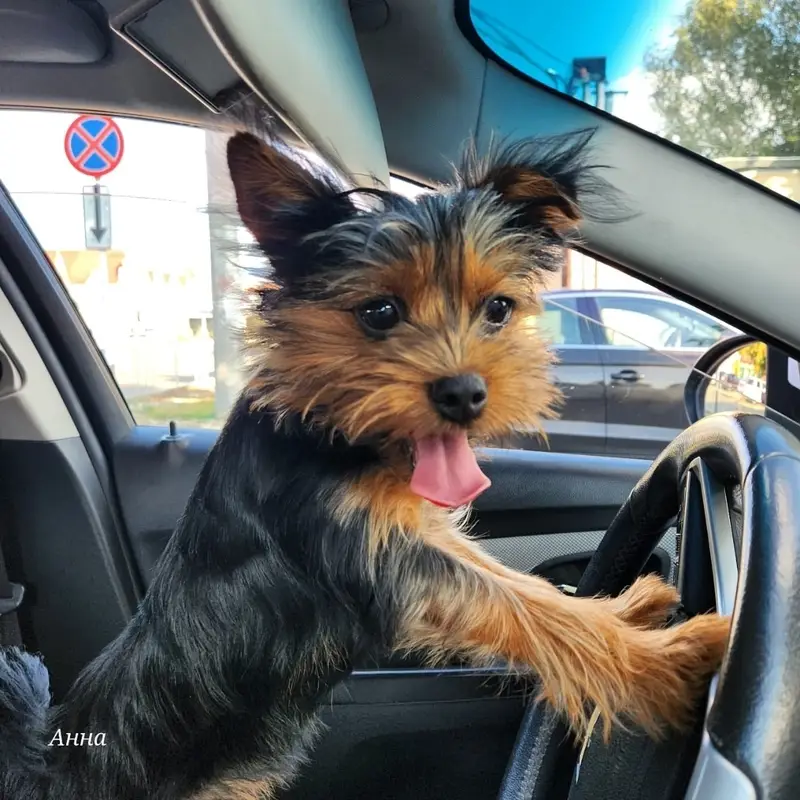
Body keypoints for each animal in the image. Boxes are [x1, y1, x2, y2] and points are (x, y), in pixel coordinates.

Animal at [0, 129, 729, 799]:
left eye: (497, 309)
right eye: (379, 313)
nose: (465, 393)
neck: (331, 433)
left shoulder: (418, 533)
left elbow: (525, 589)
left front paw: (625, 605)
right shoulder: (382, 556)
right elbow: (521, 612)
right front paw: (672, 659)